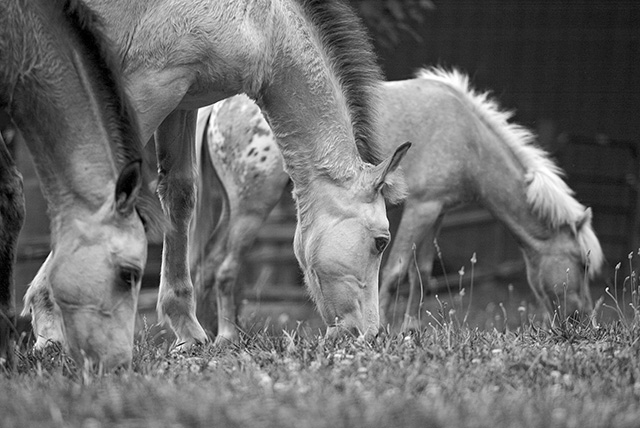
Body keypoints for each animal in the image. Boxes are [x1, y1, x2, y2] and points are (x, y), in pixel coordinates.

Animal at [23, 0, 410, 348]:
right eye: (381, 241)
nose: (371, 334)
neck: (260, 21)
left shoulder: (179, 99)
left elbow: (179, 196)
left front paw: (186, 329)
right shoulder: (145, 86)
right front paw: (48, 321)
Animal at [190, 68, 604, 338]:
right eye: (582, 266)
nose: (584, 322)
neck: (469, 138)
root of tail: (217, 109)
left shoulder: (437, 212)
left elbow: (421, 274)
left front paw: (411, 329)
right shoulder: (420, 208)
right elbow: (394, 272)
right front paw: (387, 330)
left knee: (207, 264)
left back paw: (209, 331)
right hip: (252, 207)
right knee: (225, 268)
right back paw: (227, 336)